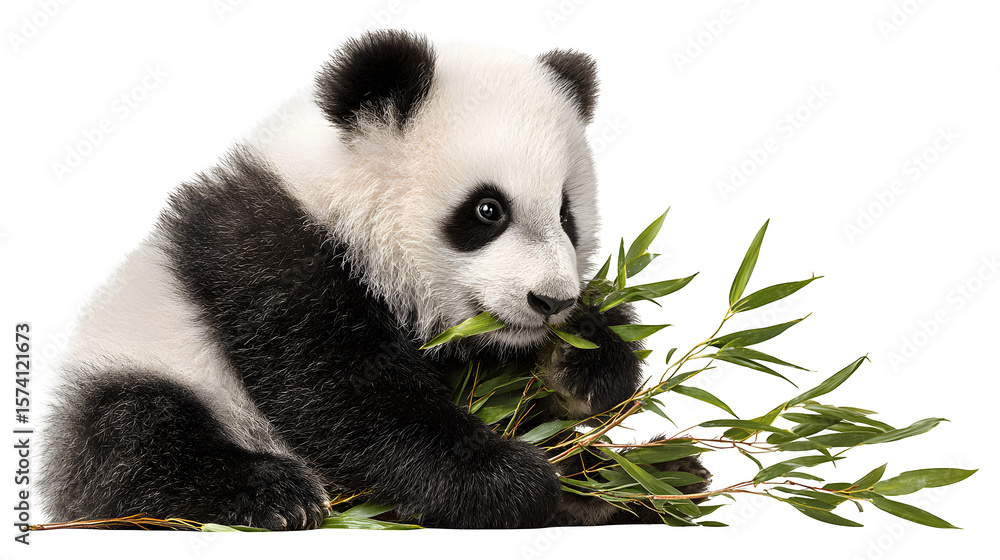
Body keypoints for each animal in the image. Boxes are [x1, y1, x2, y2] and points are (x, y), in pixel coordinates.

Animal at [39, 30, 709, 530]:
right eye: (487, 210)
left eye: (568, 215)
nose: (550, 300)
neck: (338, 199)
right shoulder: (272, 257)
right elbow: (343, 393)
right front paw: (508, 479)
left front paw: (584, 364)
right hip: (150, 363)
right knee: (135, 441)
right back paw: (273, 496)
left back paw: (650, 482)